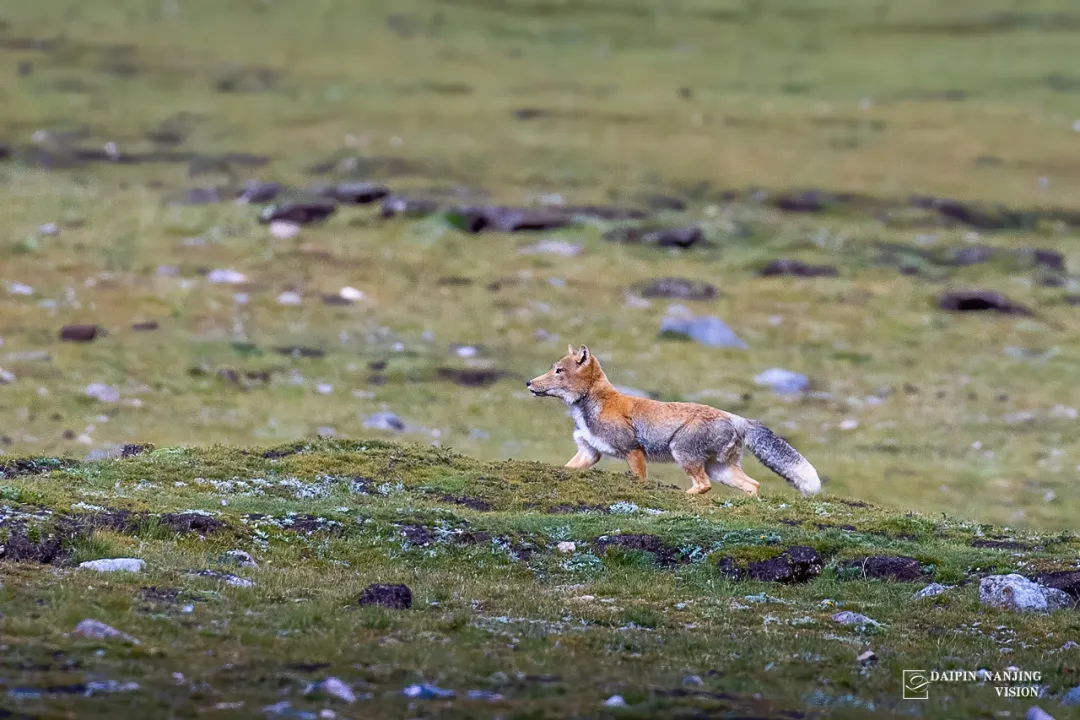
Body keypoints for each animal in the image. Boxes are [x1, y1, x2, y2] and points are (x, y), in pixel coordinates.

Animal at [527, 345, 820, 496]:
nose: (529, 382)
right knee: (753, 485)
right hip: (721, 470)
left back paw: (684, 496)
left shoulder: (633, 451)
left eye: (558, 371)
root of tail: (734, 417)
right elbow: (567, 468)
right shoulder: (589, 453)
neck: (594, 405)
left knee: (704, 486)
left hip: (684, 455)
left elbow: (640, 480)